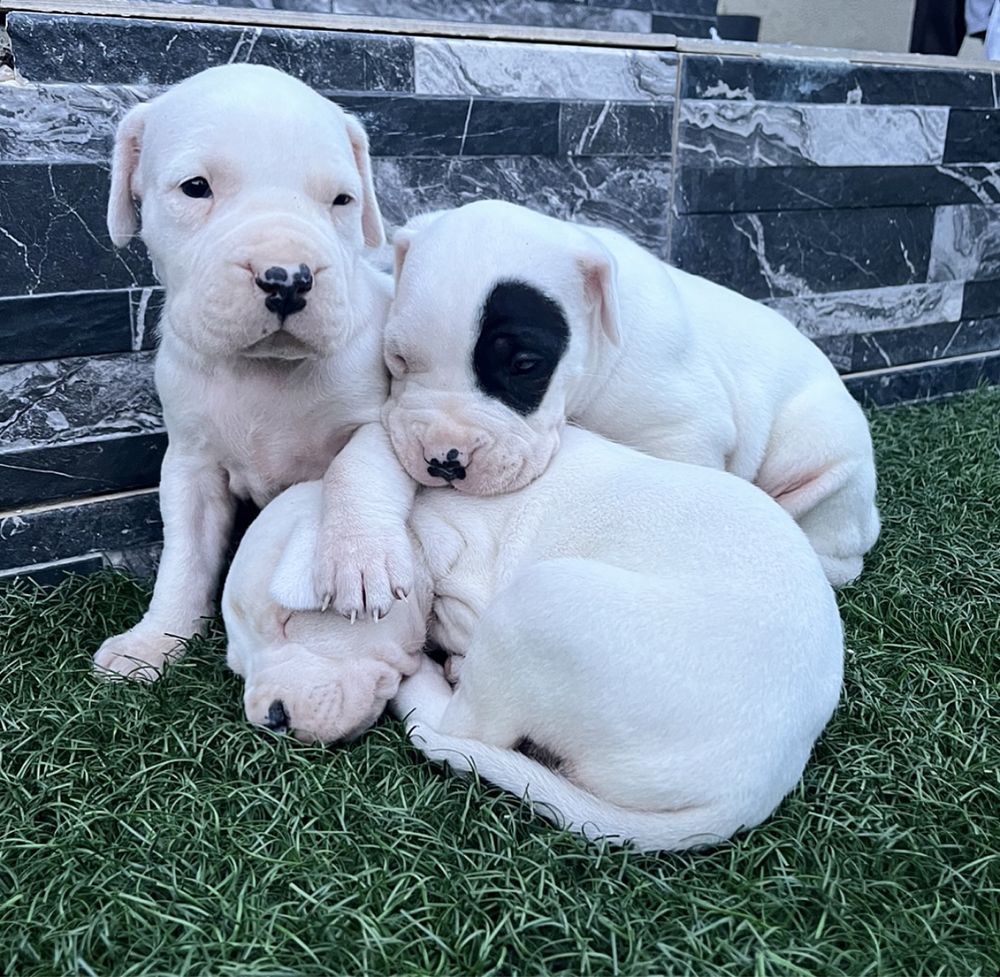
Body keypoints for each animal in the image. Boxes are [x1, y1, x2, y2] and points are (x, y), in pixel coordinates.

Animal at [96, 66, 414, 680]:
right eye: (196, 187)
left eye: (342, 200)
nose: (288, 278)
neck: (265, 371)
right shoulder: (191, 462)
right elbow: (185, 556)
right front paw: (154, 640)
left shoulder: (389, 415)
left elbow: (357, 467)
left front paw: (359, 560)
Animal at [230, 430, 840, 852]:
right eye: (239, 665)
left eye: (288, 623)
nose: (269, 718)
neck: (420, 523)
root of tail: (754, 784)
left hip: (539, 600)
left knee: (465, 727)